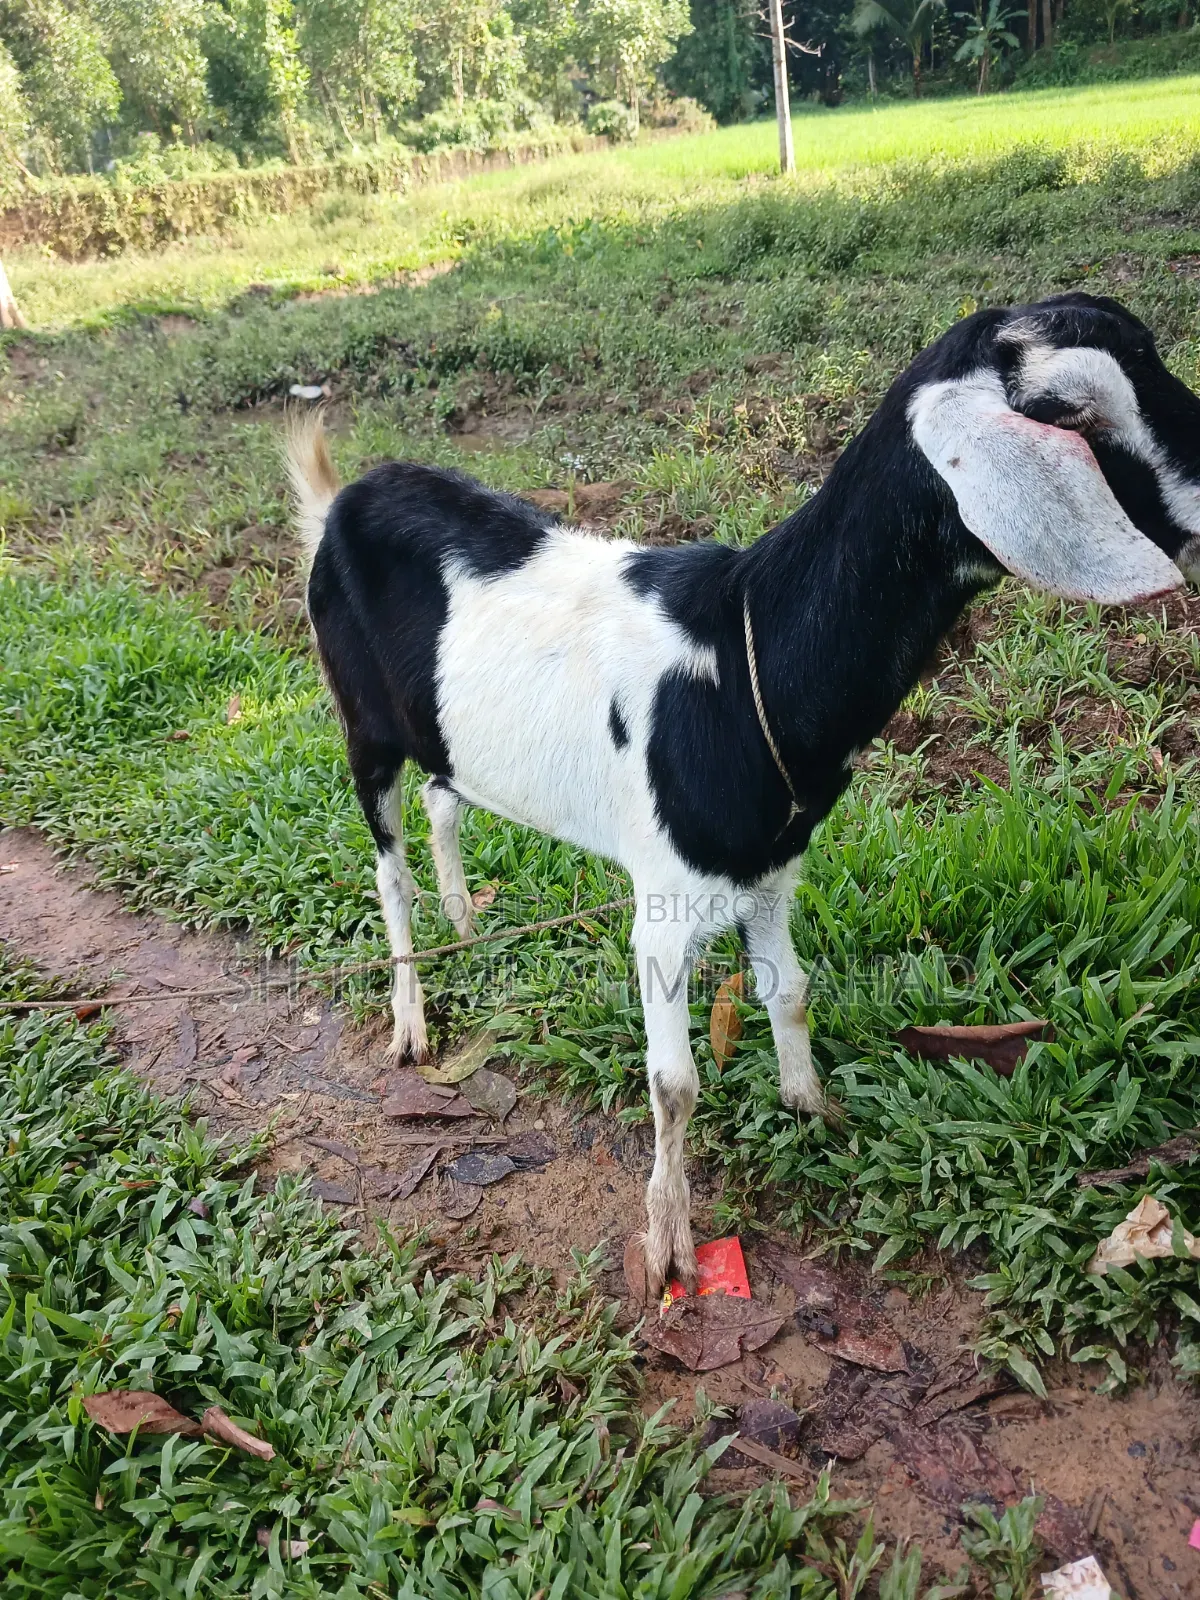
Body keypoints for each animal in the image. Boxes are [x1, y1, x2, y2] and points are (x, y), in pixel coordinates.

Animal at [288, 292, 1200, 1297]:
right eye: (1072, 415)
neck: (742, 656)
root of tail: (343, 499)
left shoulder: (772, 870)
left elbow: (789, 992)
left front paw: (818, 1113)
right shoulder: (662, 902)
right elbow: (674, 1084)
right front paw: (668, 1246)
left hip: (447, 732)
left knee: (447, 800)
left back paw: (464, 919)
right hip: (363, 728)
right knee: (390, 869)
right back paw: (413, 1018)